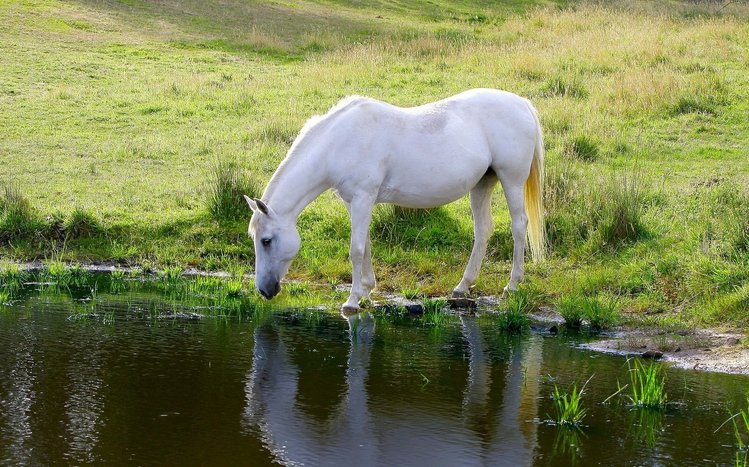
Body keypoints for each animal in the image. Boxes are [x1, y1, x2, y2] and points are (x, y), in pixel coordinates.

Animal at [244, 88, 546, 313]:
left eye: (266, 241)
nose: (264, 290)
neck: (340, 141)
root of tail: (522, 104)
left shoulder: (363, 198)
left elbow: (356, 249)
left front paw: (352, 301)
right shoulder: (354, 202)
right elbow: (365, 245)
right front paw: (366, 290)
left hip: (511, 180)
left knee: (518, 226)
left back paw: (512, 285)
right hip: (483, 184)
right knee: (483, 230)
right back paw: (462, 286)